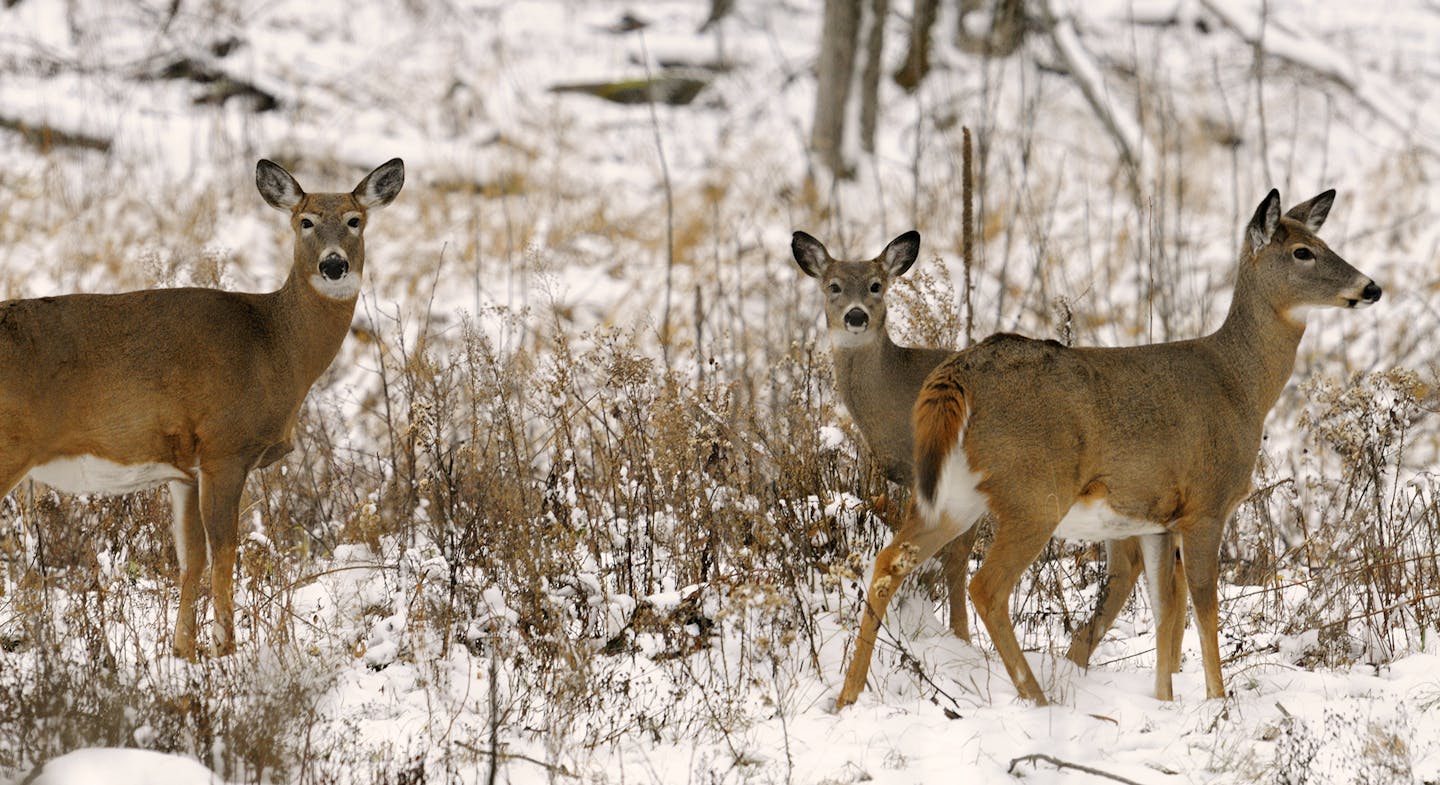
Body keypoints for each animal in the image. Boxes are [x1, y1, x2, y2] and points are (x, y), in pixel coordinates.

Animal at [0, 156, 406, 656]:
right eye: (305, 222)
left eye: (355, 220)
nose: (334, 264)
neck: (273, 345)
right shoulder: (224, 449)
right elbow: (226, 550)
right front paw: (226, 647)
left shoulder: (184, 470)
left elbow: (190, 557)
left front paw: (184, 651)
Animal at [800, 227, 1180, 674]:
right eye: (833, 286)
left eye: (877, 285)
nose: (856, 316)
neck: (895, 395)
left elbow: (954, 559)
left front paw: (960, 638)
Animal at [840, 191, 1376, 708]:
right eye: (1302, 252)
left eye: (1322, 242)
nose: (1371, 288)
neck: (1239, 385)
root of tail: (957, 375)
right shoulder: (1207, 505)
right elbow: (1204, 604)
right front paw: (1218, 703)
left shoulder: (1157, 519)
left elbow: (1165, 609)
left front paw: (1164, 703)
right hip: (1034, 492)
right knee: (985, 586)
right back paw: (1038, 699)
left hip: (953, 493)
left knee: (889, 562)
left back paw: (848, 695)